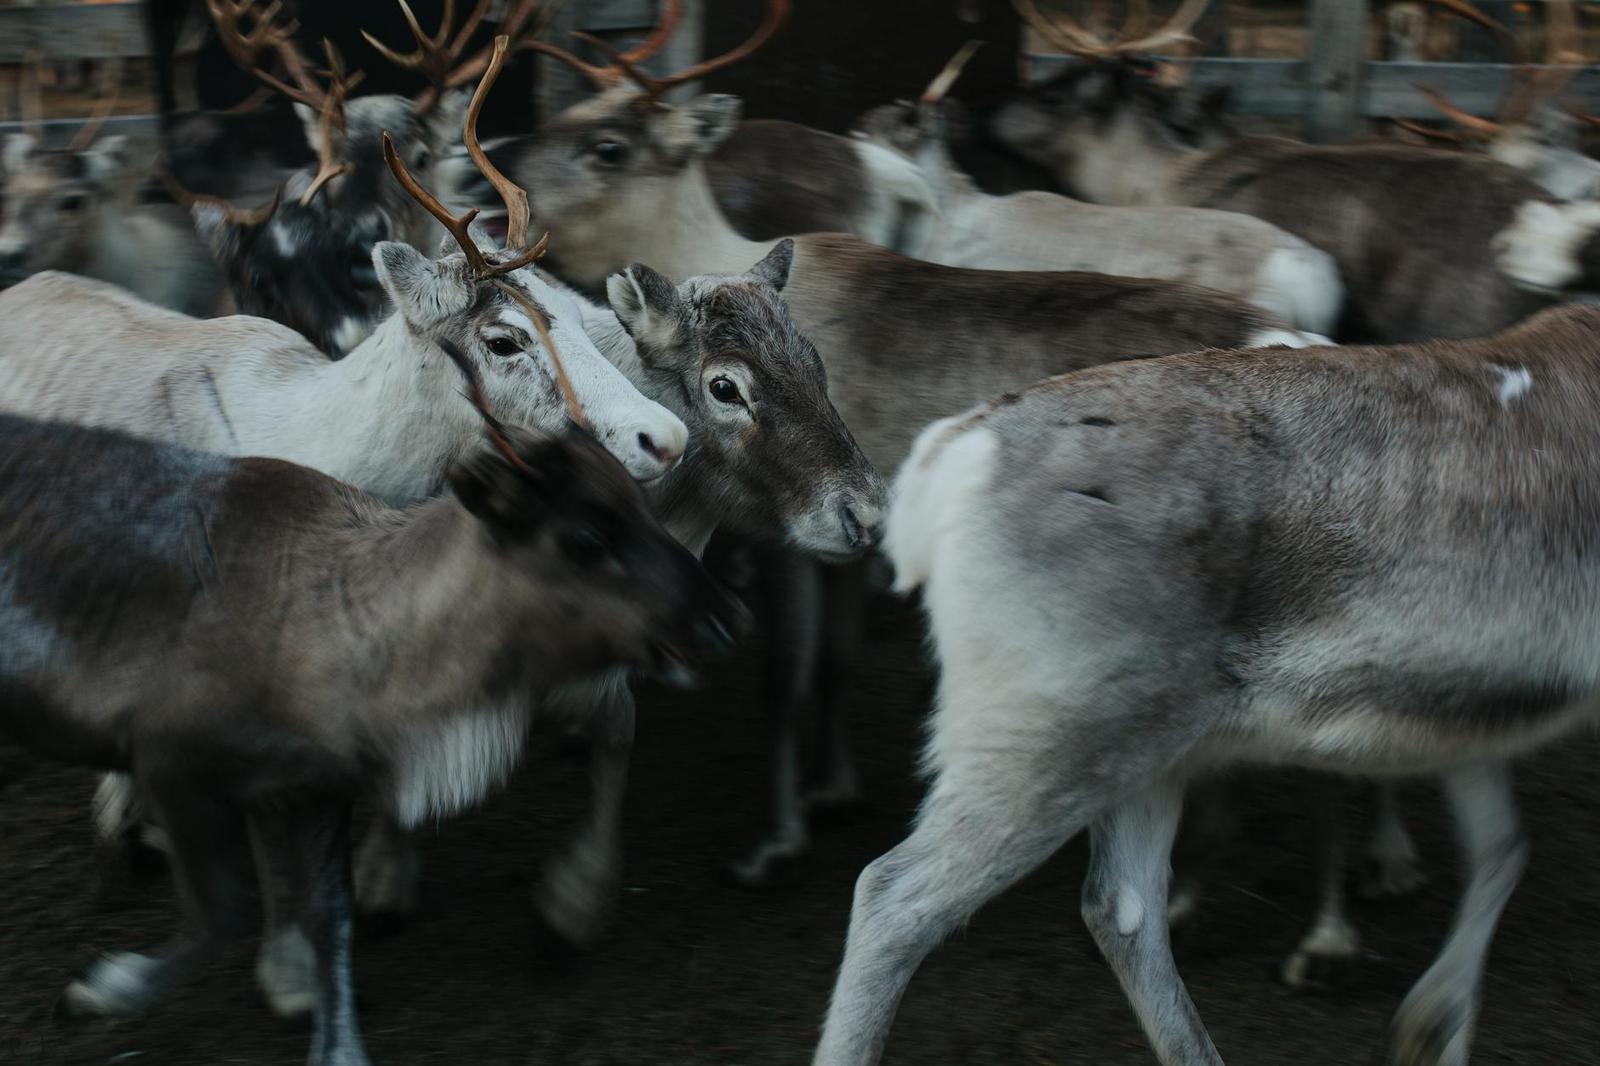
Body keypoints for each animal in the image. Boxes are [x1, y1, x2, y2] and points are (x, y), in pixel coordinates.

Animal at [0, 346, 742, 1066]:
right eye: (586, 537)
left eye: (642, 505)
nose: (722, 620)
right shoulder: (174, 766)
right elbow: (225, 915)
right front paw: (103, 987)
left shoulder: (319, 785)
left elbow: (331, 914)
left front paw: (338, 1043)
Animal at [816, 297, 1600, 1066]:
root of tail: (955, 451)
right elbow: (1500, 850)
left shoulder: (1473, 708)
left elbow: (1501, 848)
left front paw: (1433, 1026)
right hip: (1047, 736)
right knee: (895, 899)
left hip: (1143, 744)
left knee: (1122, 906)